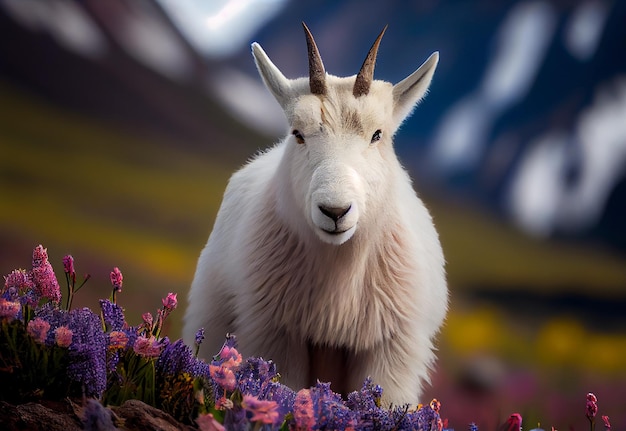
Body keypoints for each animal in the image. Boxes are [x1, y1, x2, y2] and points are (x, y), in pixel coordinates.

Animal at [183, 23, 446, 408]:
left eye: (378, 135)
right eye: (298, 133)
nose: (335, 211)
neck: (338, 269)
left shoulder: (390, 351)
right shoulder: (276, 335)